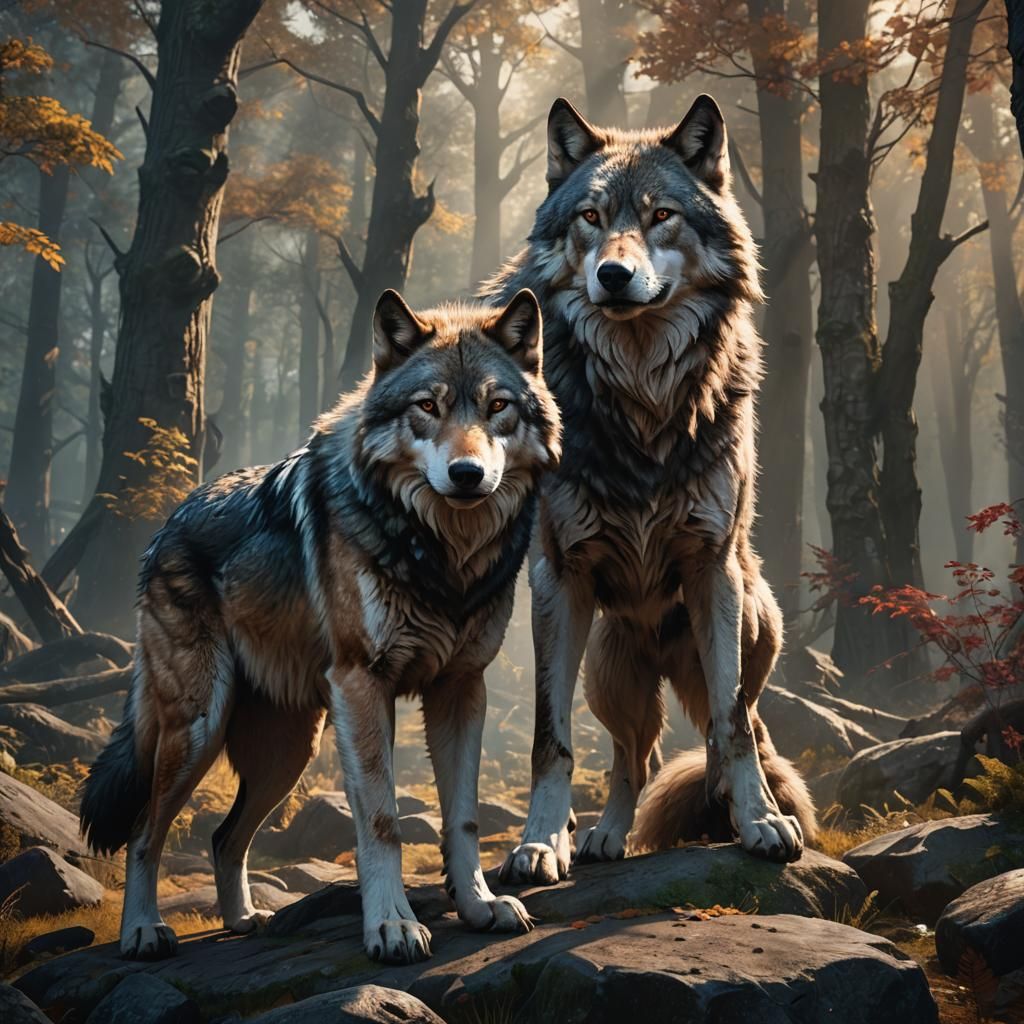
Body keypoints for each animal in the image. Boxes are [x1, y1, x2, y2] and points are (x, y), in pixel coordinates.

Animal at [80, 289, 560, 964]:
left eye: (497, 407)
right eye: (428, 407)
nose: (467, 474)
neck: (443, 554)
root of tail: (167, 523)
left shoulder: (462, 689)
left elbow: (462, 817)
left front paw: (478, 905)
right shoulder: (363, 685)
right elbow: (382, 821)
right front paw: (391, 926)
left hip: (290, 751)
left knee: (224, 837)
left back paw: (244, 920)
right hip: (200, 727)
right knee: (145, 832)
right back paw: (143, 931)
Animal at [484, 95, 816, 886]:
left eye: (661, 215)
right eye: (592, 217)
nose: (612, 274)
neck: (640, 394)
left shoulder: (713, 569)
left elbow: (732, 725)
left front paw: (760, 823)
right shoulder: (558, 580)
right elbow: (550, 740)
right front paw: (539, 844)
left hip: (755, 619)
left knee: (739, 727)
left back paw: (729, 805)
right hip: (610, 676)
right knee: (634, 757)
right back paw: (604, 836)